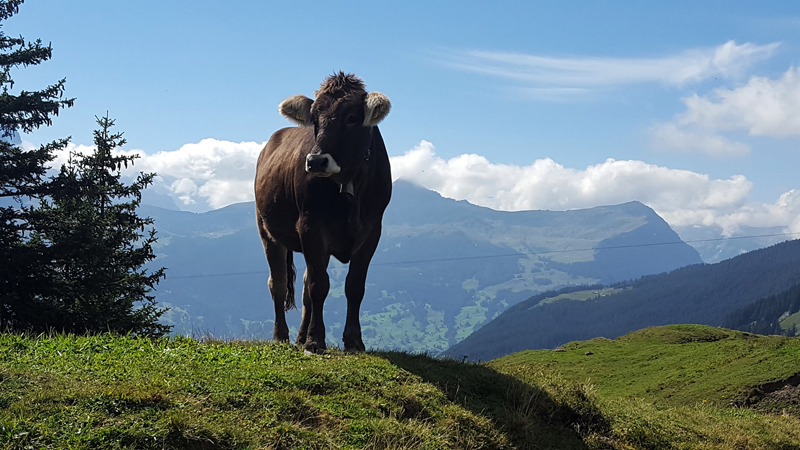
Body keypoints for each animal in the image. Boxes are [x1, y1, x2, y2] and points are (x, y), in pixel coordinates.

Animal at [255, 74, 392, 354]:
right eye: (314, 119)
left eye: (351, 117)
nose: (316, 161)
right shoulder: (311, 225)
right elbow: (319, 285)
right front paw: (315, 341)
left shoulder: (373, 230)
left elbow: (354, 286)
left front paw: (353, 340)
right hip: (266, 229)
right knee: (278, 283)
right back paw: (281, 336)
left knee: (304, 288)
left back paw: (299, 336)